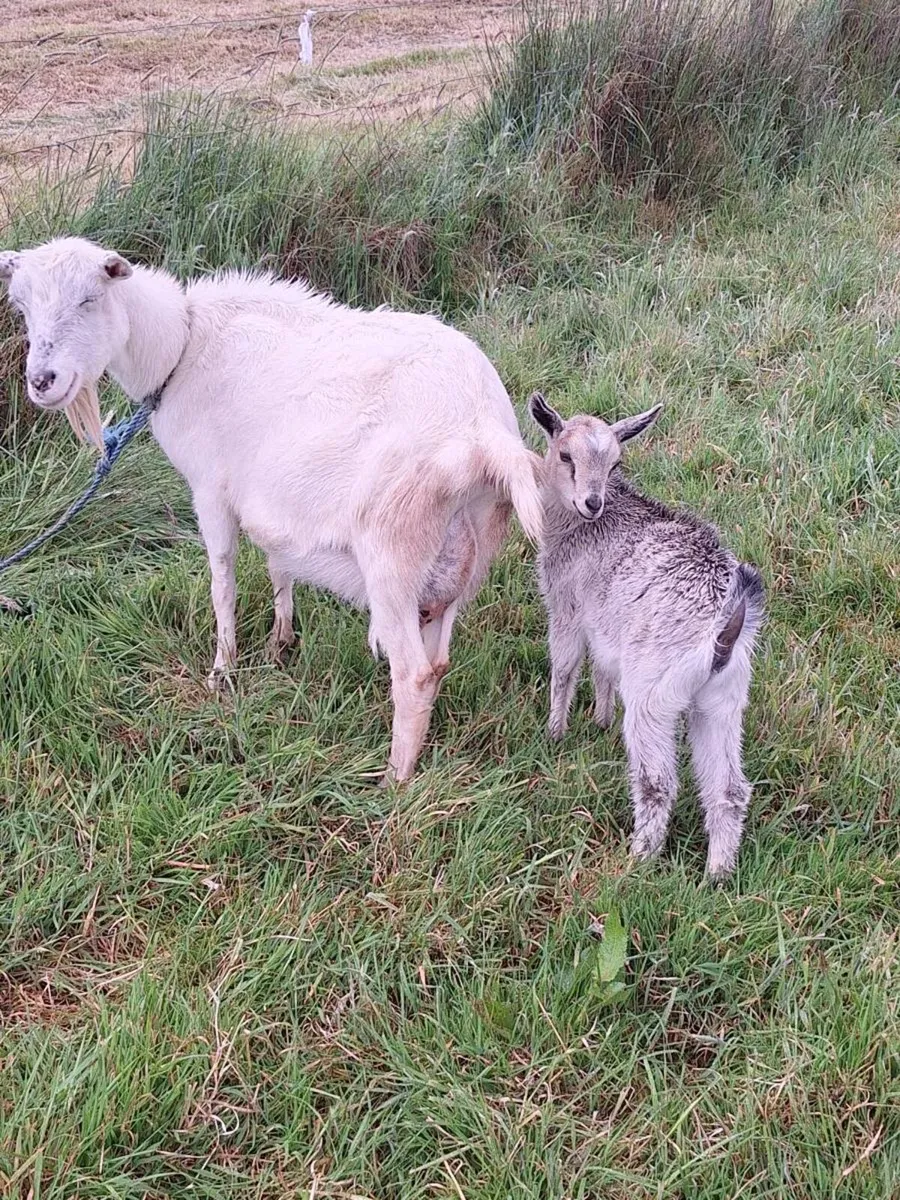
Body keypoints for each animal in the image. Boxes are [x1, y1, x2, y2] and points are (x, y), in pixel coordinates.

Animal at [0, 237, 544, 782]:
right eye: (22, 308)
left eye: (90, 299)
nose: (42, 381)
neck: (183, 348)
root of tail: (483, 431)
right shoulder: (270, 497)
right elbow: (278, 561)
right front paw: (280, 641)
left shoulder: (211, 489)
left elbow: (222, 582)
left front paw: (222, 671)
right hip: (465, 556)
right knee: (438, 662)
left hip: (392, 548)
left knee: (412, 674)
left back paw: (393, 780)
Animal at [529, 392, 764, 879]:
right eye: (566, 455)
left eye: (616, 462)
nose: (592, 502)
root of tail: (728, 619)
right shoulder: (606, 628)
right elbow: (601, 670)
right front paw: (599, 720)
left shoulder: (566, 606)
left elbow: (564, 666)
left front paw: (555, 732)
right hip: (723, 700)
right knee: (730, 789)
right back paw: (718, 875)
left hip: (653, 695)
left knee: (657, 782)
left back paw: (638, 860)